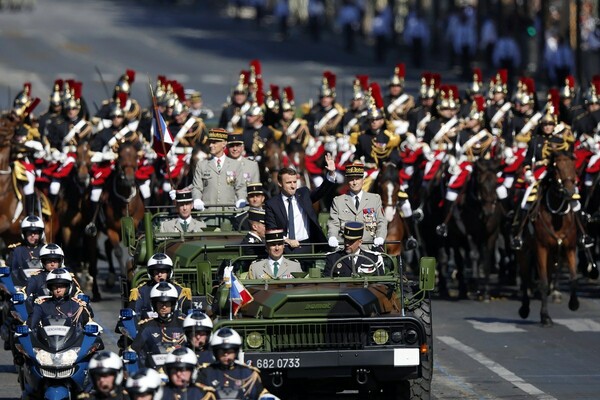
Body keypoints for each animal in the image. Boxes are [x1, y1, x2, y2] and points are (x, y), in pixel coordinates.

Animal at [520, 152, 580, 326]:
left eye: (573, 167)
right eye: (557, 168)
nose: (570, 192)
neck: (557, 216)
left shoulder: (569, 248)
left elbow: (574, 278)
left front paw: (574, 304)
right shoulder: (541, 248)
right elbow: (543, 282)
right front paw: (545, 316)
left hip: (553, 255)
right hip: (525, 252)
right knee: (525, 279)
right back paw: (524, 309)